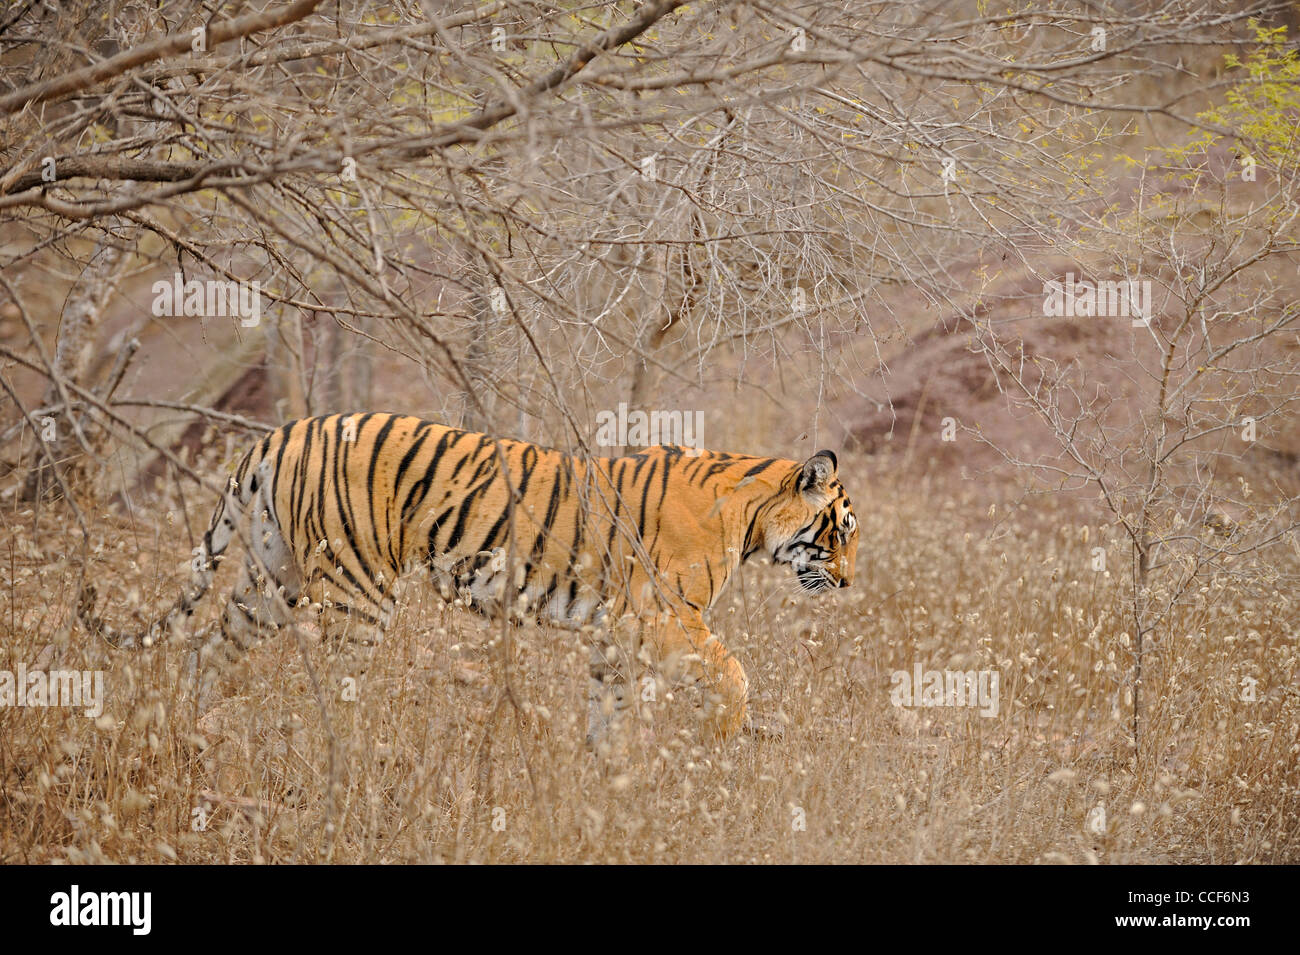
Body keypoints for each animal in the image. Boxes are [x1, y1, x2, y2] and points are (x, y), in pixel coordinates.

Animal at [76, 410, 857, 738]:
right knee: (329, 689)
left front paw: (606, 780)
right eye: (841, 531)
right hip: (355, 591)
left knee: (206, 647)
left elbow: (609, 710)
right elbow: (733, 672)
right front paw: (728, 737)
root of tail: (278, 433)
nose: (850, 583)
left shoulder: (616, 633)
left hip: (273, 578)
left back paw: (190, 731)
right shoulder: (663, 616)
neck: (752, 517)